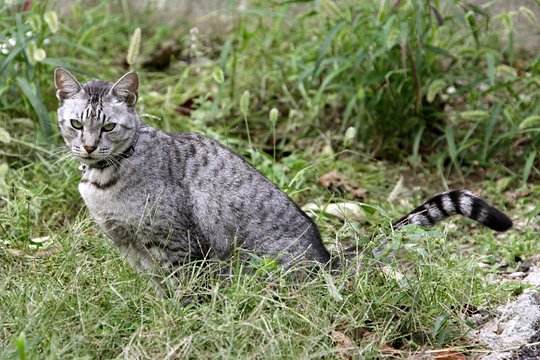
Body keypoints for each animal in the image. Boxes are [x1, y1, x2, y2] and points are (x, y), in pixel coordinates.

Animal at [54, 67, 516, 286]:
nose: (89, 147)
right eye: (77, 124)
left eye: (108, 127)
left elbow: (181, 291)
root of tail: (326, 258)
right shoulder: (133, 250)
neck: (103, 181)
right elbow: (156, 290)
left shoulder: (177, 245)